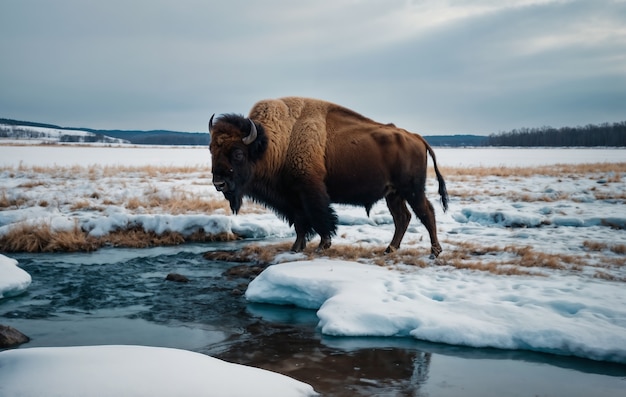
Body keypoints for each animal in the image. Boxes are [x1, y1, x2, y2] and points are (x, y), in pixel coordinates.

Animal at [207, 96, 446, 256]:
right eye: (211, 149)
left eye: (238, 153)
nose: (219, 183)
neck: (276, 143)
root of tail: (416, 137)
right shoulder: (292, 198)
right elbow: (300, 224)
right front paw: (296, 248)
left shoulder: (310, 190)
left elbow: (320, 218)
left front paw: (322, 246)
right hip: (393, 194)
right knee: (402, 218)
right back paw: (390, 249)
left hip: (412, 190)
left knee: (426, 213)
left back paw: (434, 251)